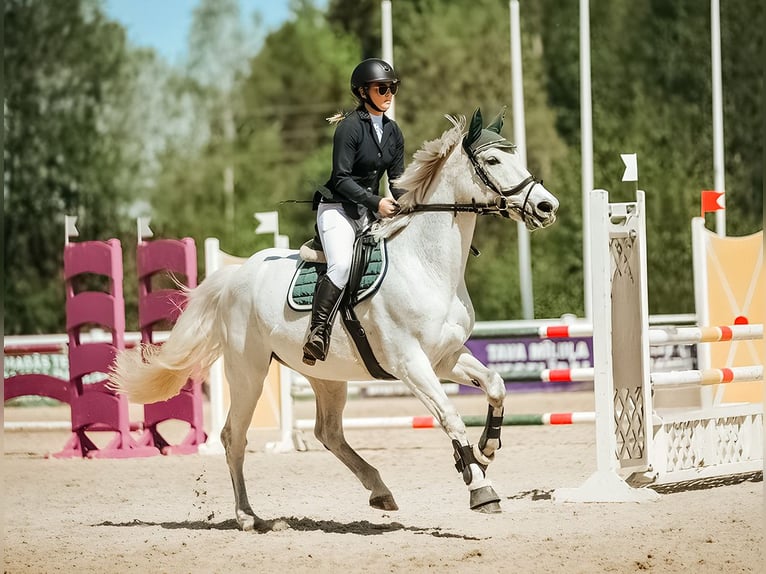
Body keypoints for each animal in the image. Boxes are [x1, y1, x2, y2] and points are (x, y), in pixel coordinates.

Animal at [110, 108, 559, 532]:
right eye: (494, 160)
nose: (547, 207)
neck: (427, 265)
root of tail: (235, 274)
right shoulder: (411, 364)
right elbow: (449, 415)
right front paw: (480, 486)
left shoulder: (444, 358)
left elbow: (496, 385)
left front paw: (487, 448)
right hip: (248, 372)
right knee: (234, 436)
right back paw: (247, 515)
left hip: (325, 375)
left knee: (327, 432)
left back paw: (379, 491)